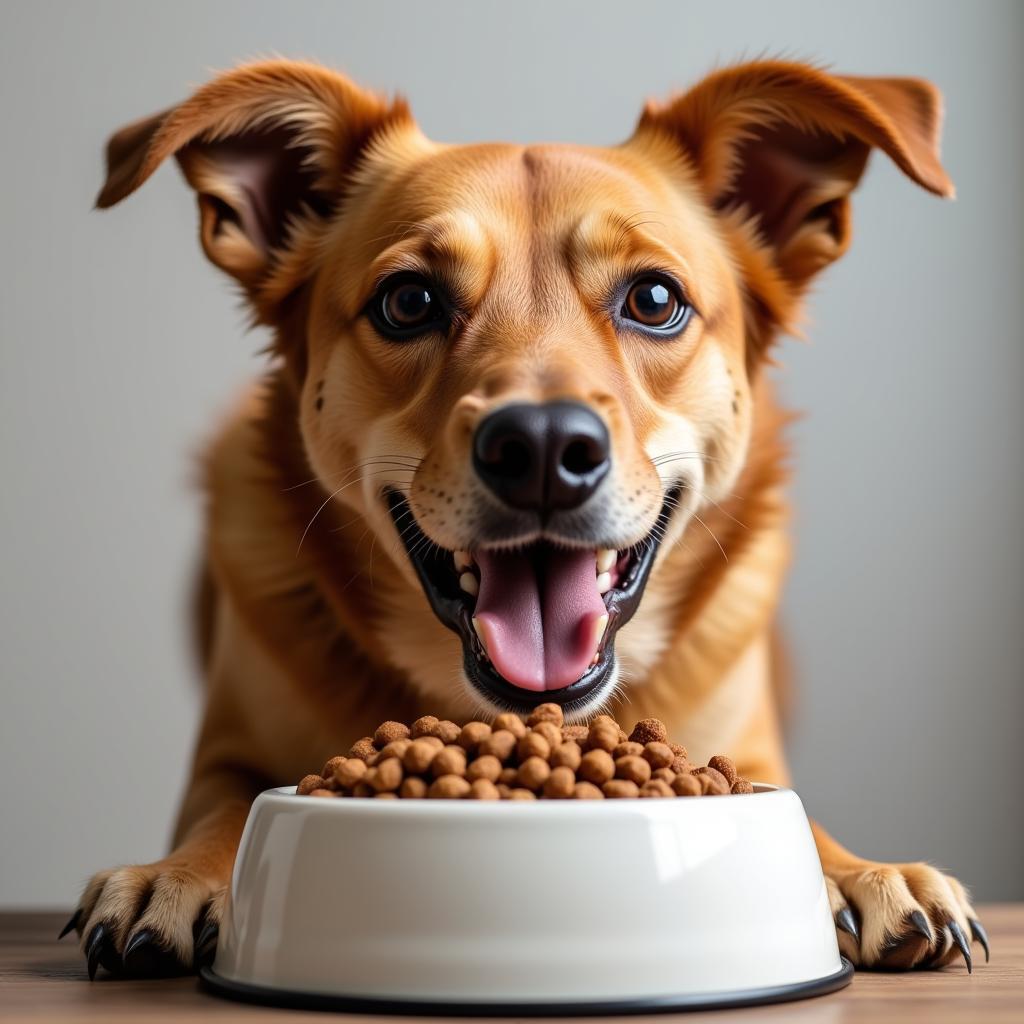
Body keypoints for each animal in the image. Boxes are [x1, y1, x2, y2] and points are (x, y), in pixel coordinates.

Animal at [64, 54, 983, 974]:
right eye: (408, 302)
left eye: (655, 299)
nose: (541, 448)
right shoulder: (225, 759)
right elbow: (228, 807)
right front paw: (174, 873)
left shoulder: (747, 751)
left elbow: (798, 808)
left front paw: (862, 871)